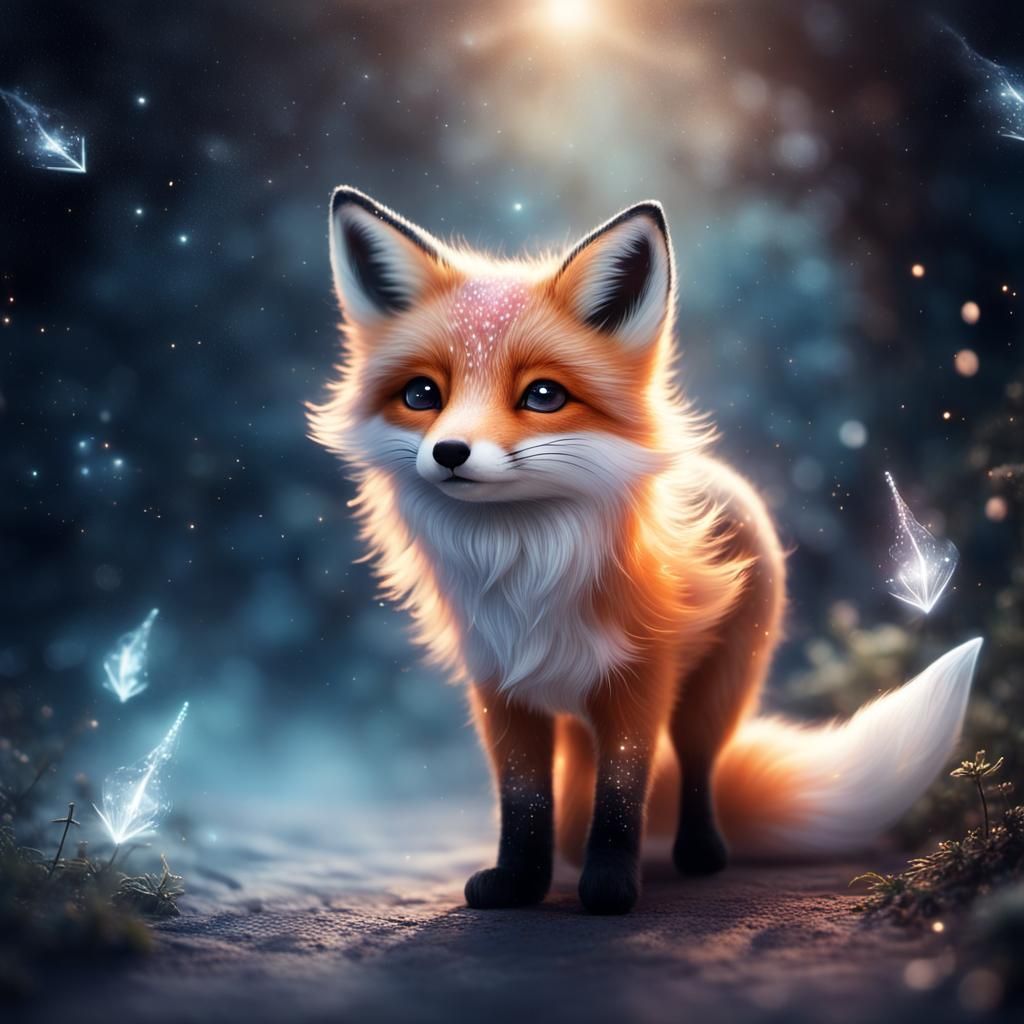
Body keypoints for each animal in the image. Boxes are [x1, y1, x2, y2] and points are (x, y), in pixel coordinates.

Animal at [308, 186, 982, 915]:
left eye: (542, 395)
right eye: (422, 394)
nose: (450, 453)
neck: (523, 569)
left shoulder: (638, 684)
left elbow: (622, 795)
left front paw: (608, 886)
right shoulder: (501, 688)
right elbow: (524, 799)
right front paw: (519, 882)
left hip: (713, 694)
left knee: (696, 766)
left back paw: (699, 854)